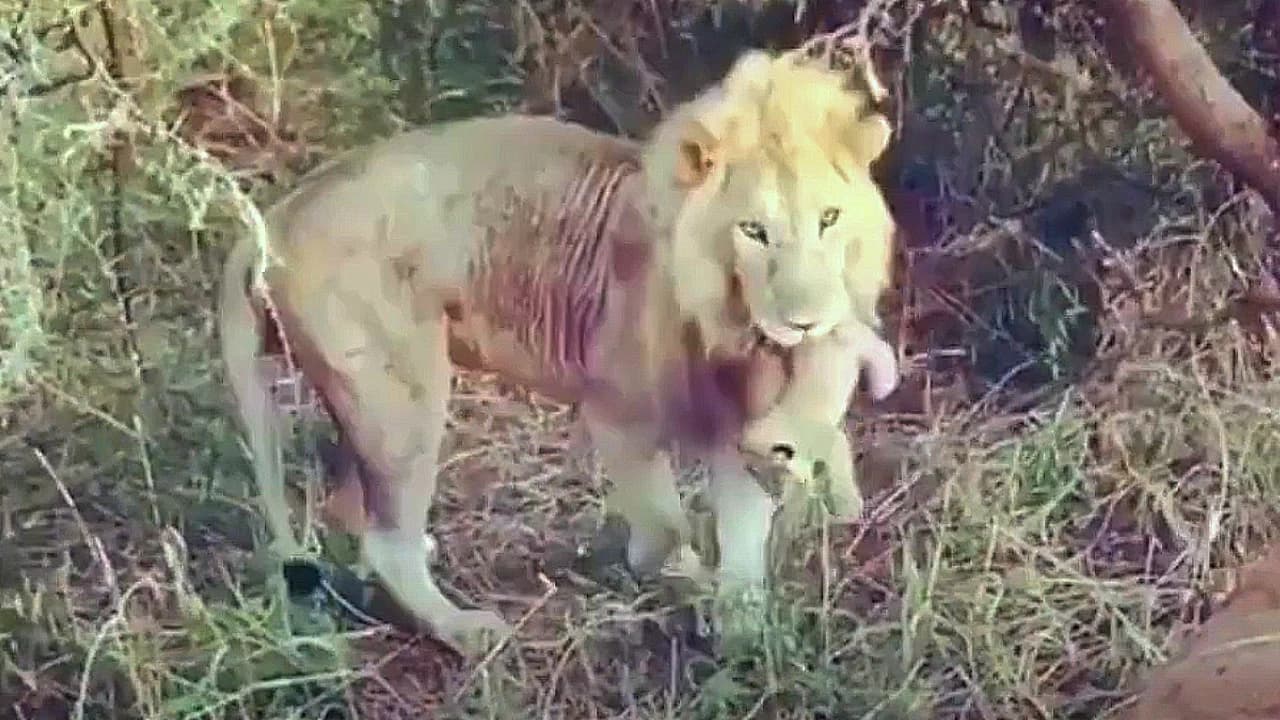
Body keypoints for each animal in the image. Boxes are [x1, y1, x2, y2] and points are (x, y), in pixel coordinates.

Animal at [217, 47, 901, 653]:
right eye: (754, 231)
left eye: (830, 218)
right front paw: (680, 579)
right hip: (400, 392)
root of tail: (276, 216)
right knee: (385, 538)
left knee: (350, 510)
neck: (734, 329)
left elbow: (743, 527)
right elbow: (669, 524)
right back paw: (464, 631)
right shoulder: (618, 410)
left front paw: (743, 627)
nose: (806, 321)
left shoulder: (735, 428)